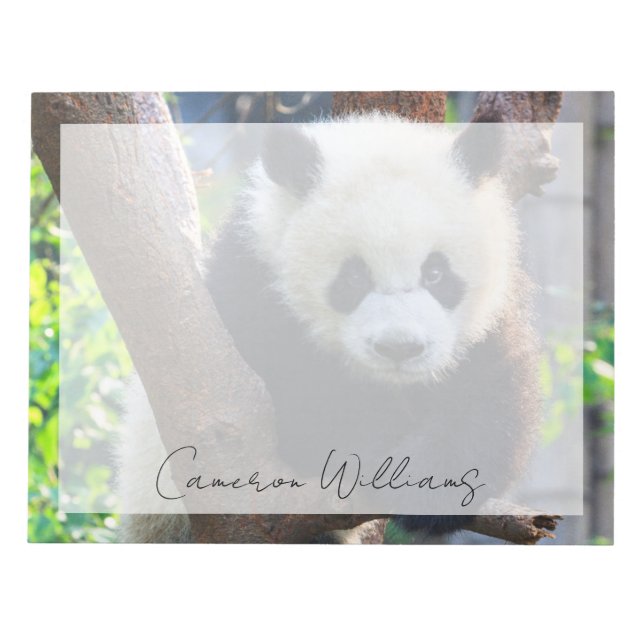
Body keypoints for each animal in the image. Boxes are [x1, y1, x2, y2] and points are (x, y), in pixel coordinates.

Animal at [118, 114, 541, 543]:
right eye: (353, 277)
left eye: (436, 273)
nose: (399, 348)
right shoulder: (250, 295)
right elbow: (301, 413)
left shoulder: (486, 322)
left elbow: (490, 394)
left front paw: (428, 489)